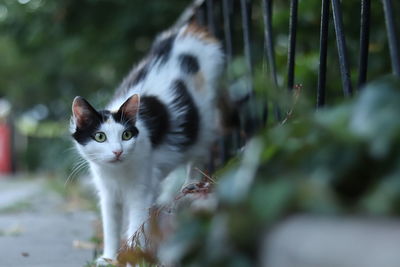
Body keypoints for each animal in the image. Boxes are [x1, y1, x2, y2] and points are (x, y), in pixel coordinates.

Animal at [70, 23, 223, 266]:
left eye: (126, 135)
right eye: (100, 137)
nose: (117, 151)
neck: (118, 172)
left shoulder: (140, 191)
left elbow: (136, 224)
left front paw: (133, 257)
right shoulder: (108, 195)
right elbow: (110, 227)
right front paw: (108, 257)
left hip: (205, 122)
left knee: (197, 153)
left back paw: (190, 184)